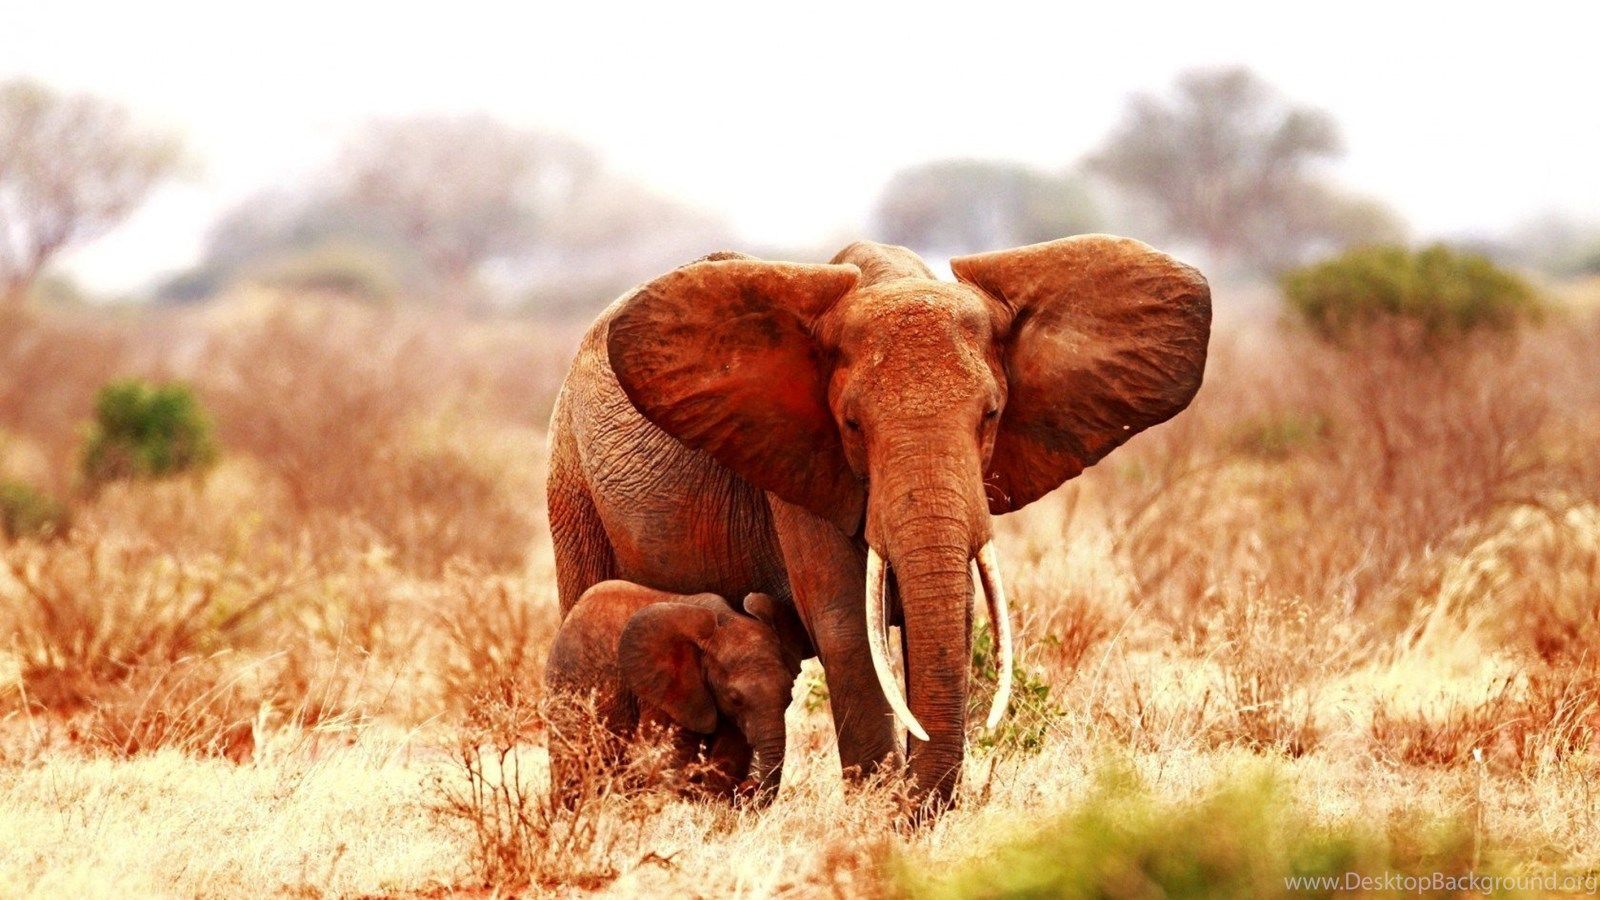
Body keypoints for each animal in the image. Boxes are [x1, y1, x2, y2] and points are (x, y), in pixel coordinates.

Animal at [544, 579, 805, 803]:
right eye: (735, 699)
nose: (750, 787)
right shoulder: (660, 691)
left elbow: (729, 755)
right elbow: (666, 753)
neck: (725, 621)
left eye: (789, 696)